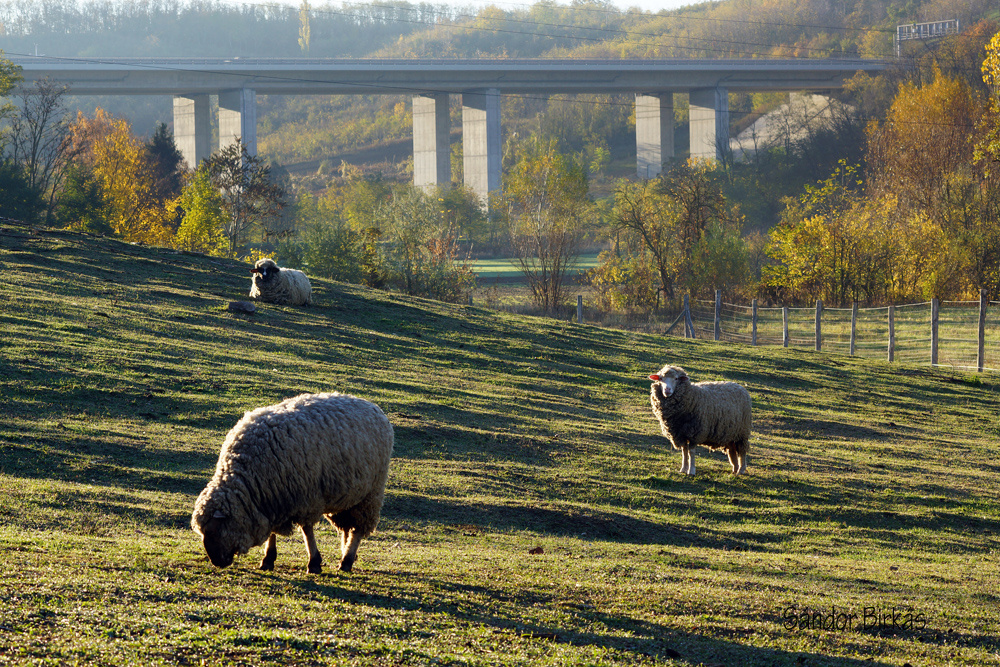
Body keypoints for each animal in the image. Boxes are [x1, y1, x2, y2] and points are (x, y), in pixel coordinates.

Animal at [189, 392, 392, 576]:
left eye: (214, 531)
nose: (216, 562)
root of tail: (373, 406)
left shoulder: (306, 498)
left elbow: (307, 531)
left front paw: (314, 563)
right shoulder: (273, 497)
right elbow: (273, 530)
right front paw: (268, 559)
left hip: (371, 494)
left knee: (357, 528)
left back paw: (347, 561)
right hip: (347, 496)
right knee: (347, 527)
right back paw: (346, 553)